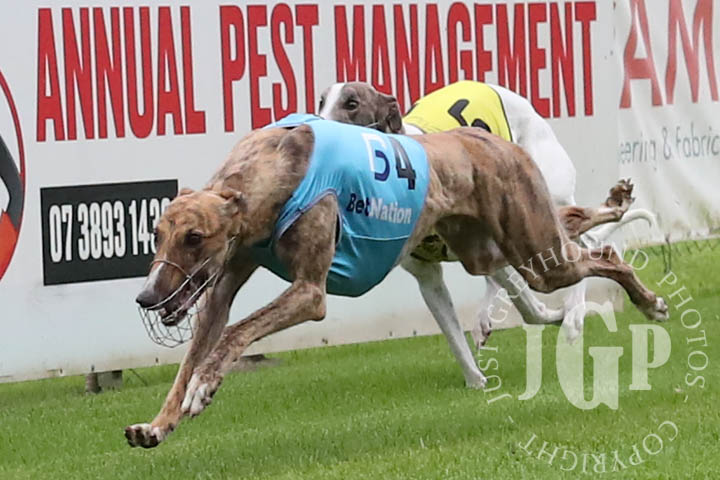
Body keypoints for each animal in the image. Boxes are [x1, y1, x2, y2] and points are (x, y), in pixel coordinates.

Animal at [124, 115, 667, 448]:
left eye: (195, 237)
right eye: (157, 233)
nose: (147, 297)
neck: (271, 171)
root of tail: (495, 141)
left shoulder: (309, 292)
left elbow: (236, 334)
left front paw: (203, 390)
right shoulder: (220, 287)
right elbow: (197, 352)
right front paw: (157, 426)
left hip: (536, 253)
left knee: (605, 253)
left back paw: (650, 301)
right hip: (491, 250)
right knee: (578, 230)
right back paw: (617, 202)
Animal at [317, 80, 655, 347]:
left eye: (352, 103)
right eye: (321, 101)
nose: (315, 124)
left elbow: (531, 304)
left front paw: (562, 316)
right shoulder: (430, 272)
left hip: (541, 206)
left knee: (584, 245)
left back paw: (574, 314)